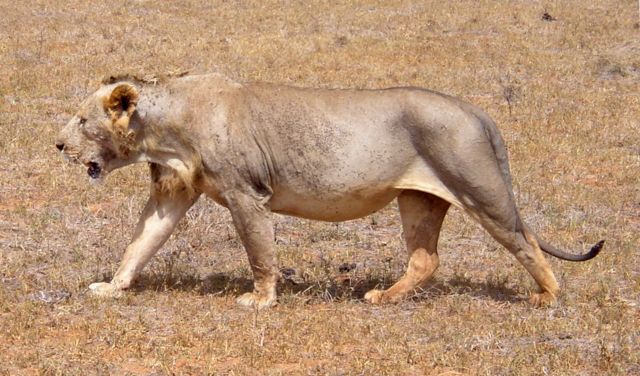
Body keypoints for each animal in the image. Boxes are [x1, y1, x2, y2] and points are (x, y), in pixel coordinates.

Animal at [56, 72, 604, 308]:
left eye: (82, 120)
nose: (58, 143)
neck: (164, 132)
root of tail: (476, 110)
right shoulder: (171, 193)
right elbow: (139, 244)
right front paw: (112, 287)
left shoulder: (246, 194)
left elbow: (260, 254)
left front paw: (260, 302)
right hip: (419, 199)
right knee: (425, 259)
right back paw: (382, 297)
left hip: (479, 188)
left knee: (524, 240)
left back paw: (547, 297)